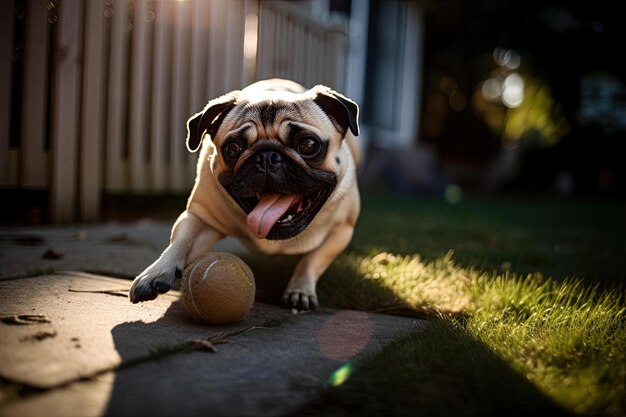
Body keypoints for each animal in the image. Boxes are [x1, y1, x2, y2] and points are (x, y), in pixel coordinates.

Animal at [128, 79, 356, 308]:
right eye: (233, 148)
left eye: (308, 145)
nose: (267, 157)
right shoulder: (199, 218)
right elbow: (181, 241)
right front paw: (157, 271)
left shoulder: (342, 231)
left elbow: (311, 261)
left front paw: (300, 289)